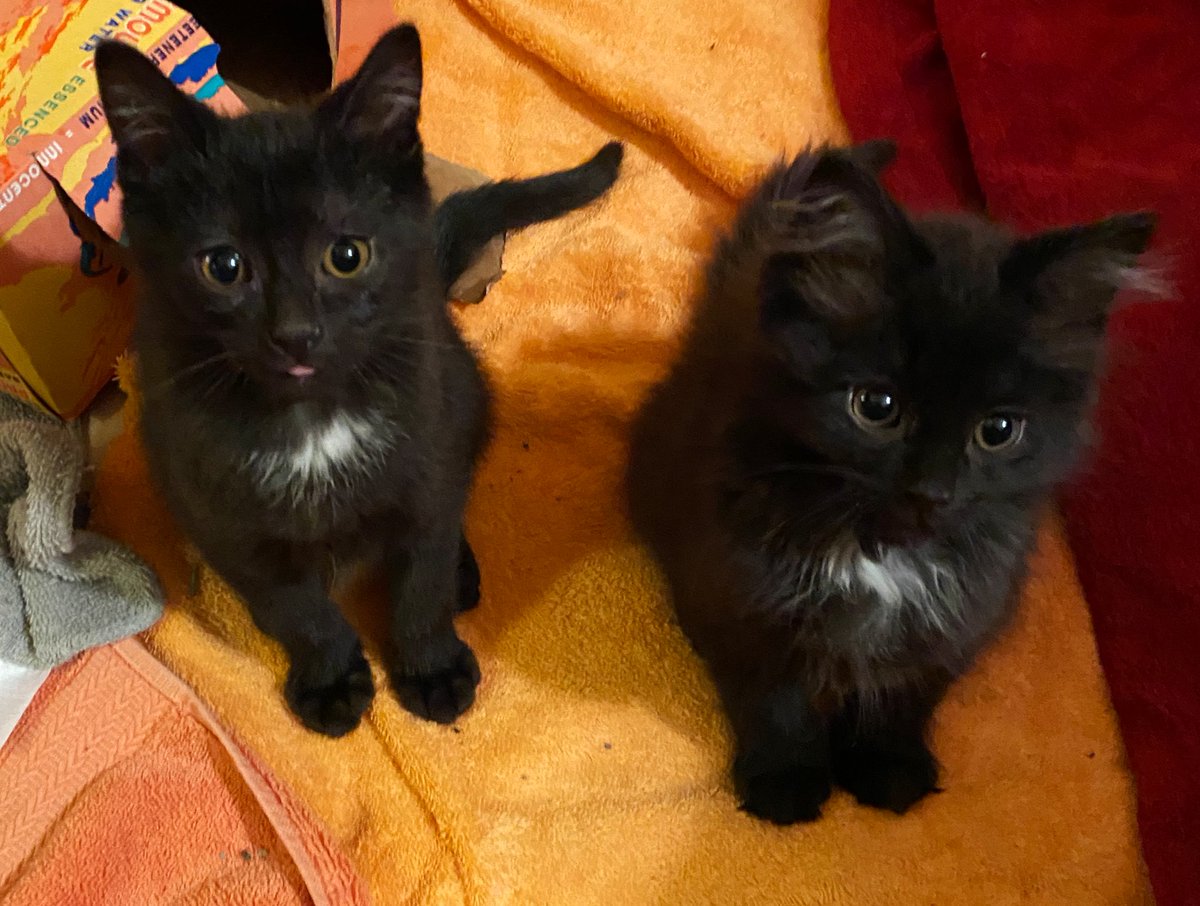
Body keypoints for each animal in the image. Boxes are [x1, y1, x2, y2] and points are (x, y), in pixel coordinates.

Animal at [94, 24, 623, 736]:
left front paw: (431, 668)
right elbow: (296, 609)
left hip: (462, 387)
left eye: (347, 255)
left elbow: (422, 577)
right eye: (223, 266)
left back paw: (461, 572)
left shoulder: (428, 447)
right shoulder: (224, 514)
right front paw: (331, 679)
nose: (295, 334)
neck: (313, 419)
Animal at [626, 140, 1156, 823]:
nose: (932, 490)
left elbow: (904, 690)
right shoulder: (740, 595)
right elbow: (777, 699)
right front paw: (785, 780)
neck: (880, 550)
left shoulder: (964, 610)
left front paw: (886, 765)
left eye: (999, 429)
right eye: (876, 406)